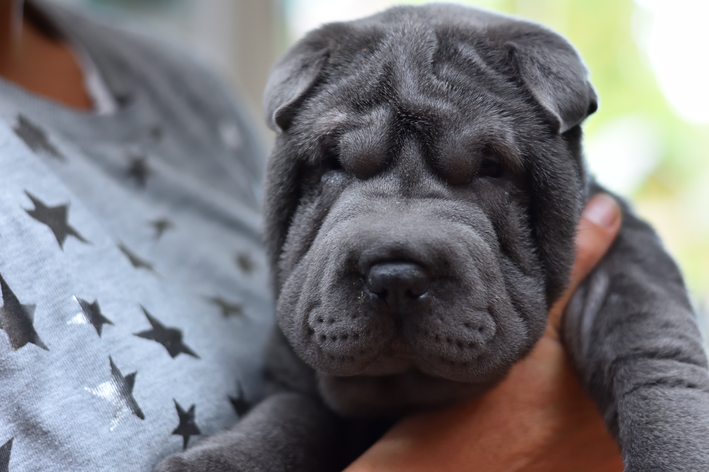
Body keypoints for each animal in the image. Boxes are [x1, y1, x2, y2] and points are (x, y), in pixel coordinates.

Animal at [158, 3, 708, 472]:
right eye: (335, 163)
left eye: (491, 168)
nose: (397, 276)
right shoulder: (297, 369)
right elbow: (284, 419)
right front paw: (219, 458)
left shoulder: (624, 261)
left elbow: (656, 362)